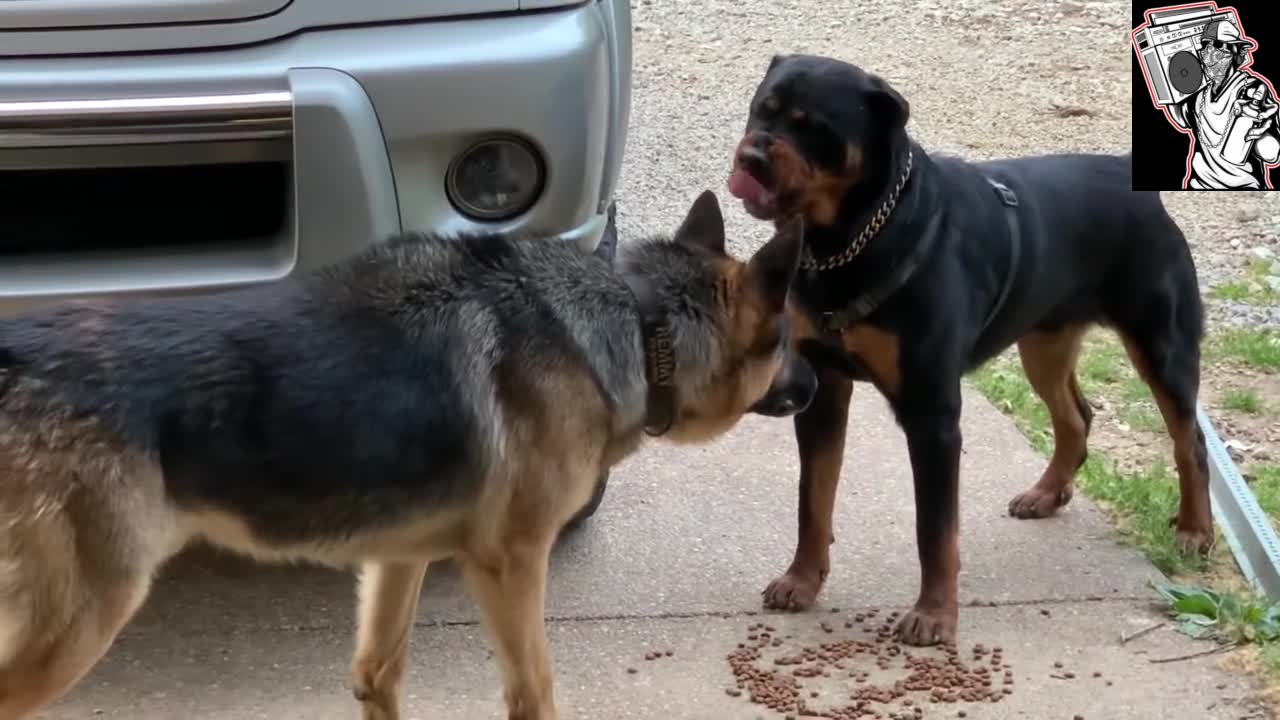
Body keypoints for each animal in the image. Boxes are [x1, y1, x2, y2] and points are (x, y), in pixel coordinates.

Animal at [727, 51, 1213, 645]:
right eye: (761, 108)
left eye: (814, 126)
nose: (750, 156)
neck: (849, 240)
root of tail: (1125, 172)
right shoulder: (822, 388)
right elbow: (812, 500)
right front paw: (801, 580)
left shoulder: (932, 412)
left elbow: (935, 529)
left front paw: (934, 614)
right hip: (1044, 341)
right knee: (1076, 416)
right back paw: (1046, 493)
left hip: (1160, 344)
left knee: (1189, 441)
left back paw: (1194, 531)